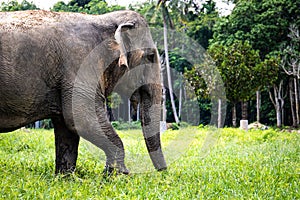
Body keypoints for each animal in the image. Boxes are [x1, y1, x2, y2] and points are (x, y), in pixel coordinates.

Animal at [0, 9, 166, 175]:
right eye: (150, 56)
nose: (163, 171)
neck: (104, 19)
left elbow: (67, 126)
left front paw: (65, 176)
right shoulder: (80, 63)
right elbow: (81, 118)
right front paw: (119, 174)